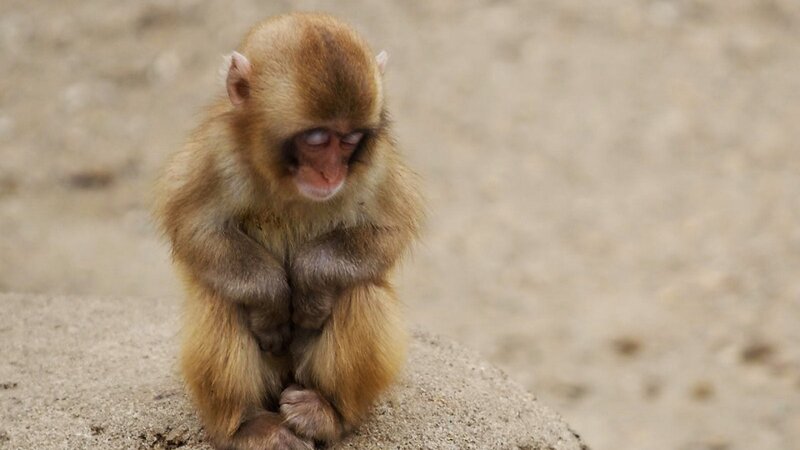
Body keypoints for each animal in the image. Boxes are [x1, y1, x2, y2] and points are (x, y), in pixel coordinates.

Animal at [154, 13, 423, 450]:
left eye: (349, 139)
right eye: (316, 139)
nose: (331, 174)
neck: (285, 182)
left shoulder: (376, 163)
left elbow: (389, 229)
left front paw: (310, 281)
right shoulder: (215, 151)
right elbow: (194, 226)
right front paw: (271, 300)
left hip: (302, 369)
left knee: (361, 291)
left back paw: (328, 413)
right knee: (219, 298)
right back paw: (246, 426)